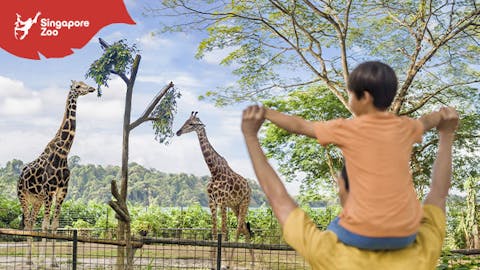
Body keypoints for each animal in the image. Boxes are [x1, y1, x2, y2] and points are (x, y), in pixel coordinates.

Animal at [17, 80, 95, 266]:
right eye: (78, 86)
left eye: (84, 83)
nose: (92, 88)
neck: (63, 153)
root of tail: (20, 176)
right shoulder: (49, 191)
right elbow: (45, 226)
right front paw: (41, 261)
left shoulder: (62, 191)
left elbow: (54, 226)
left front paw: (52, 261)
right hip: (23, 196)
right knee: (28, 223)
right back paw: (29, 260)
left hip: (36, 200)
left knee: (31, 221)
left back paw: (30, 259)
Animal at [176, 112, 255, 268]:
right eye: (185, 121)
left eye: (192, 124)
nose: (178, 132)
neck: (214, 171)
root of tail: (249, 188)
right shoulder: (212, 202)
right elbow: (214, 231)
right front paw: (212, 264)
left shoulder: (222, 202)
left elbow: (223, 231)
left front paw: (224, 263)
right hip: (235, 206)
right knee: (245, 229)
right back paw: (253, 262)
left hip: (245, 203)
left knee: (238, 229)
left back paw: (233, 263)